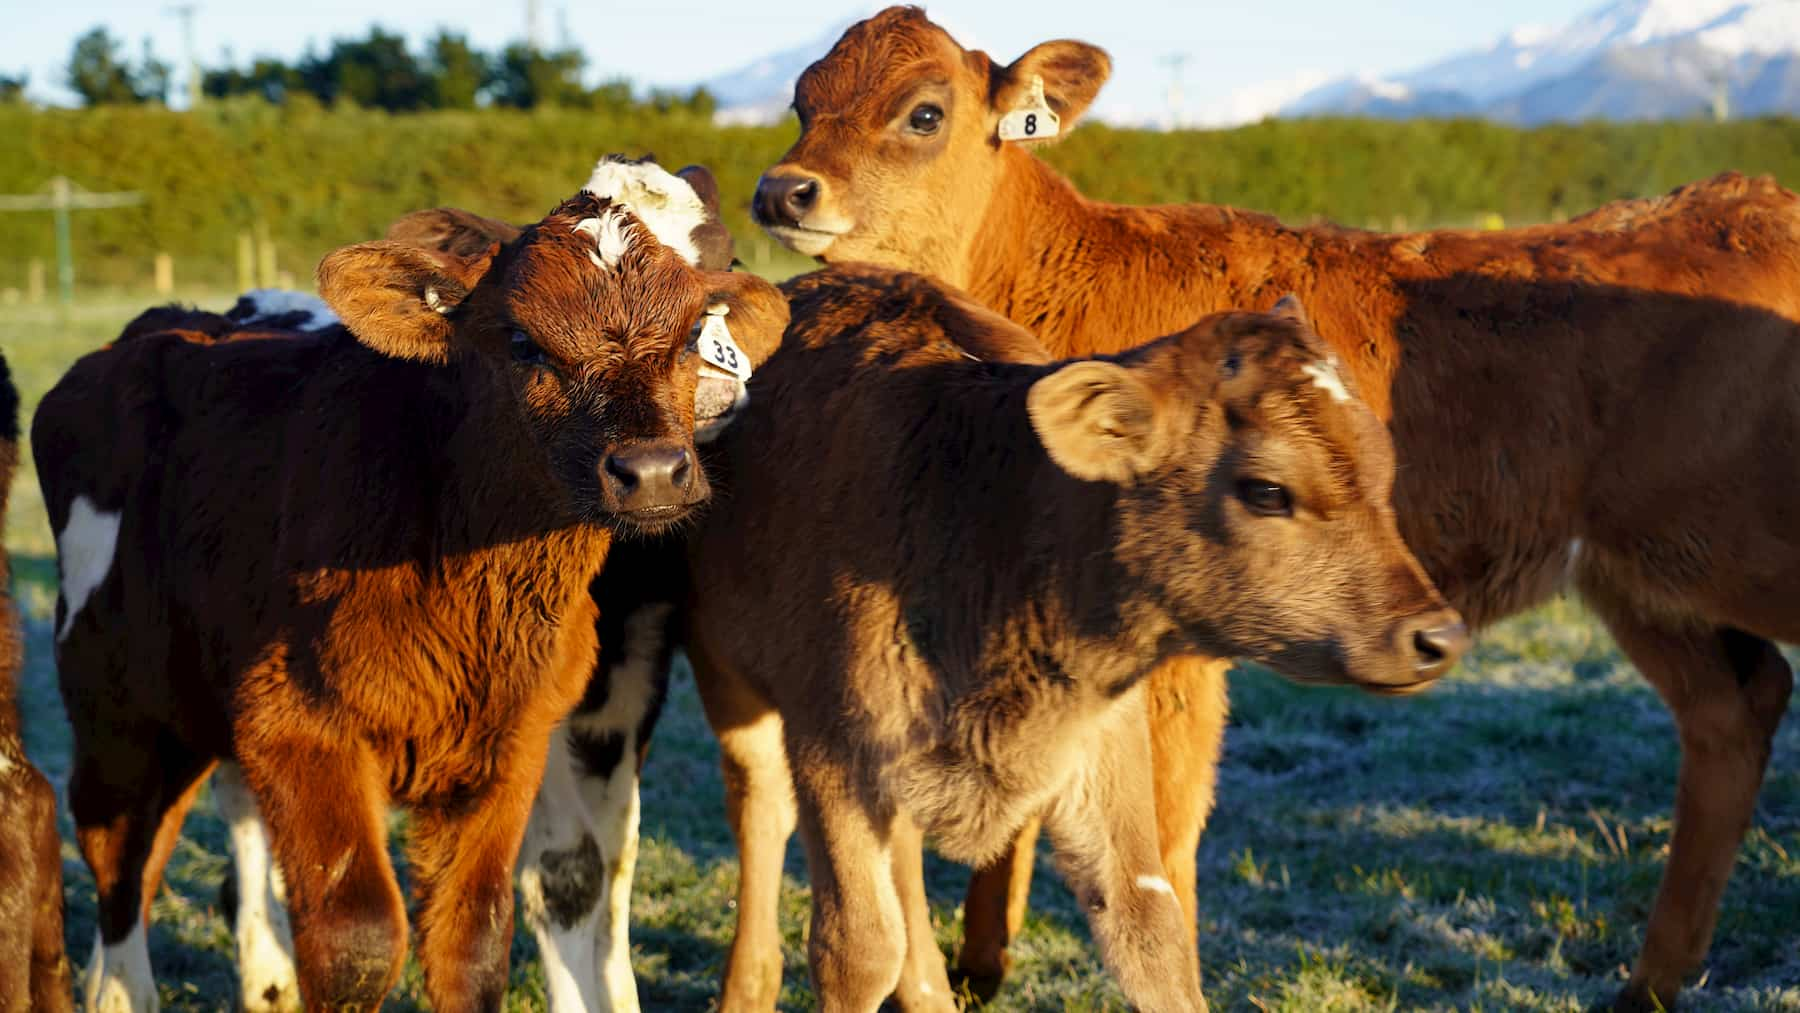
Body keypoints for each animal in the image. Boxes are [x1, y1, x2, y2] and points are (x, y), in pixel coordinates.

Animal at [33, 186, 781, 1007]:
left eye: (690, 336)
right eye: (522, 342)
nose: (651, 471)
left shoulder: (509, 746)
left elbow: (473, 942)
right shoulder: (298, 727)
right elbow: (357, 942)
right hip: (114, 710)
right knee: (117, 862)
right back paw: (118, 988)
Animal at [752, 5, 1800, 1007]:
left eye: (924, 113)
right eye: (803, 100)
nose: (783, 190)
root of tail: (1754, 199)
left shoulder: (1167, 656)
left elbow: (1164, 837)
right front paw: (979, 963)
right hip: (1640, 579)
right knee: (1733, 707)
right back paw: (1649, 983)